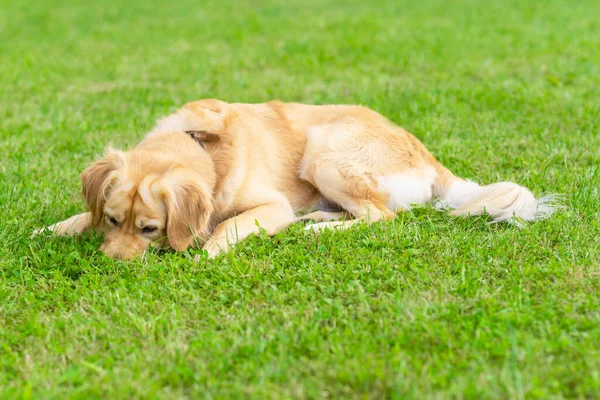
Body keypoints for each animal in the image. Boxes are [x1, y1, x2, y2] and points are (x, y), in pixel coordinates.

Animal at [36, 99, 564, 260]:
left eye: (150, 229)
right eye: (112, 220)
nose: (112, 263)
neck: (203, 146)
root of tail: (430, 158)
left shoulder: (271, 206)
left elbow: (228, 225)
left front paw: (207, 251)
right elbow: (74, 219)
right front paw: (51, 229)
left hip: (324, 151)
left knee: (383, 216)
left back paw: (316, 230)